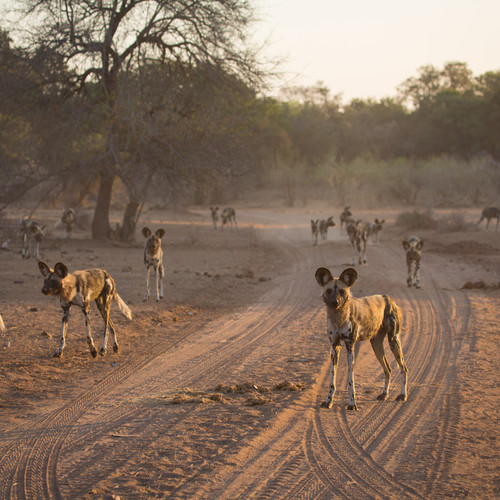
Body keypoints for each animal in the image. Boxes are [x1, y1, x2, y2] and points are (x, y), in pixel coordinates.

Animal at [314, 266, 408, 410]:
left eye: (342, 291)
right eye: (329, 290)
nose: (335, 302)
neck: (338, 317)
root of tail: (388, 298)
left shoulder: (350, 346)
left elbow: (350, 380)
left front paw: (352, 404)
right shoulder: (335, 346)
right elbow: (332, 380)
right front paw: (328, 401)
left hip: (393, 340)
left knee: (403, 368)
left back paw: (403, 395)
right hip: (376, 345)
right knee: (388, 368)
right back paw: (384, 394)